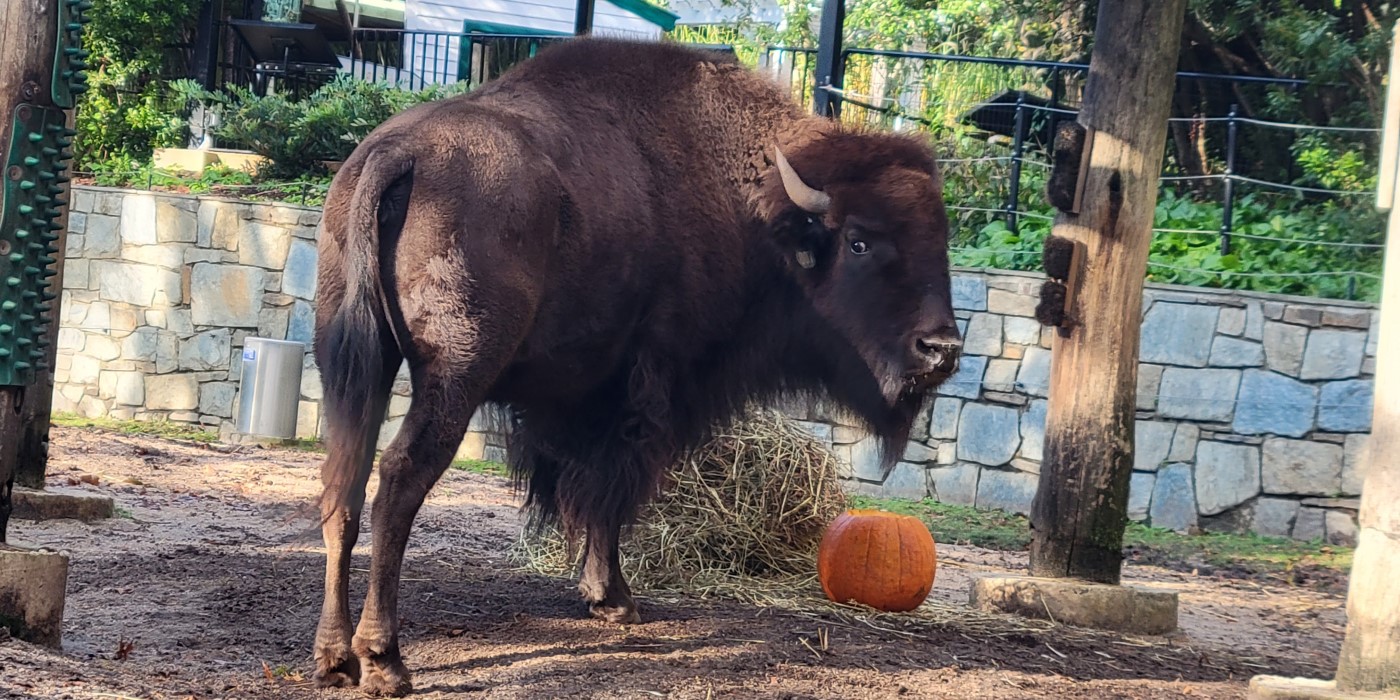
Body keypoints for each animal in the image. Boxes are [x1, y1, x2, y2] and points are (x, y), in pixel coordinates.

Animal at [310, 36, 957, 694]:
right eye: (859, 240)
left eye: (942, 241)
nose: (942, 349)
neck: (752, 200)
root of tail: (397, 154)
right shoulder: (646, 393)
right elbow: (611, 492)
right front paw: (615, 599)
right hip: (455, 373)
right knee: (398, 478)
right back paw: (384, 661)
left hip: (351, 363)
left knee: (343, 482)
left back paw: (334, 657)